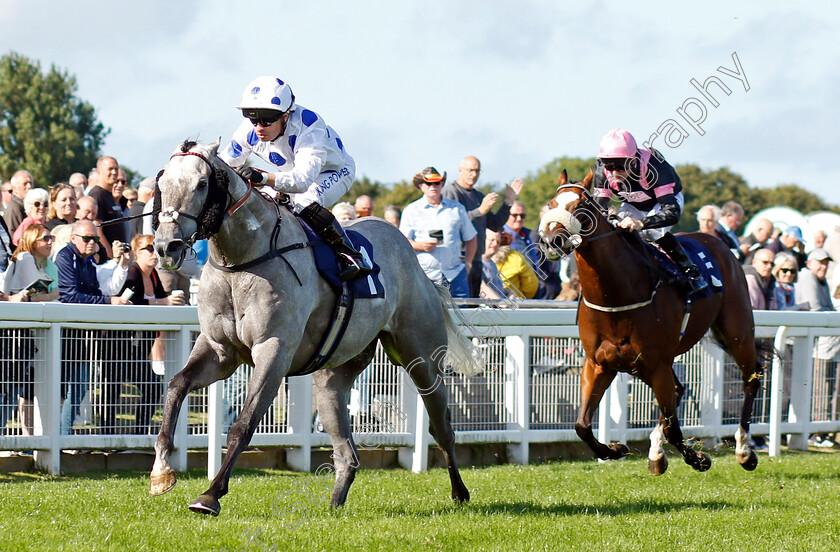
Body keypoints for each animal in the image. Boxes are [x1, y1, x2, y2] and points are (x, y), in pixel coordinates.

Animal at [148, 140, 482, 516]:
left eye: (202, 184)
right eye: (161, 184)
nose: (166, 247)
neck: (242, 259)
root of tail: (418, 265)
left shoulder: (273, 350)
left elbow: (243, 425)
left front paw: (210, 495)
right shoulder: (220, 351)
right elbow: (176, 385)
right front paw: (161, 471)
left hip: (422, 361)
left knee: (443, 427)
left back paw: (460, 492)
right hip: (333, 378)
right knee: (347, 453)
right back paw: (335, 503)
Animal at [540, 169, 772, 474]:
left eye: (579, 206)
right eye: (551, 203)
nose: (550, 241)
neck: (617, 295)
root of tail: (718, 243)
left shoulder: (656, 363)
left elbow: (675, 429)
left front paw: (698, 459)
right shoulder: (598, 364)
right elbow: (582, 425)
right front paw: (615, 449)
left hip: (737, 331)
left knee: (751, 376)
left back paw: (744, 450)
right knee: (678, 389)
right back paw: (655, 453)